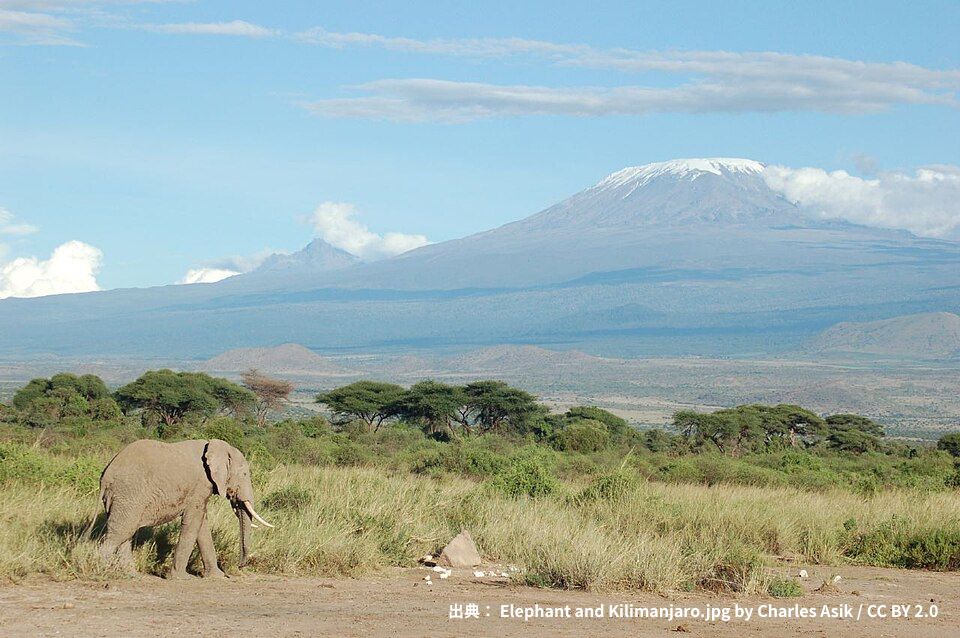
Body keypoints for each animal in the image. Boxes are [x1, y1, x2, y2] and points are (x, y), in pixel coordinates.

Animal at [96, 438, 273, 578]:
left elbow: (202, 526)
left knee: (125, 533)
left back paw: (131, 575)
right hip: (129, 494)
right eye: (244, 475)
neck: (217, 447)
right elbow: (193, 523)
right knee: (120, 532)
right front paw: (181, 578)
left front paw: (217, 577)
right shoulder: (200, 485)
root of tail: (105, 476)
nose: (239, 567)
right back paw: (102, 570)